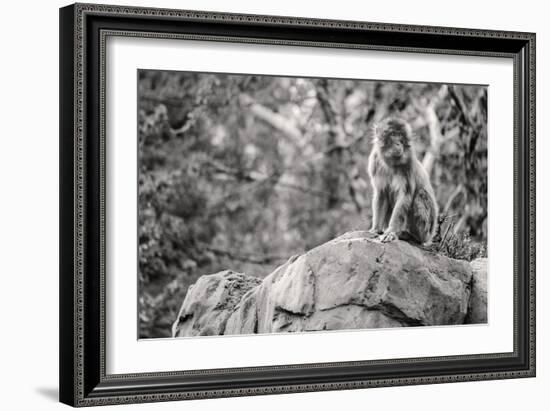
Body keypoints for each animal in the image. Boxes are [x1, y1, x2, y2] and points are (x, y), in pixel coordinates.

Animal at [368, 116, 442, 245]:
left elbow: (405, 196)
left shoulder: (409, 163)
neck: (391, 163)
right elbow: (381, 194)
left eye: (401, 136)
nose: (398, 143)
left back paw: (411, 236)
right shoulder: (375, 162)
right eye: (393, 134)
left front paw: (391, 232)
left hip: (427, 229)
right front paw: (376, 229)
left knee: (420, 195)